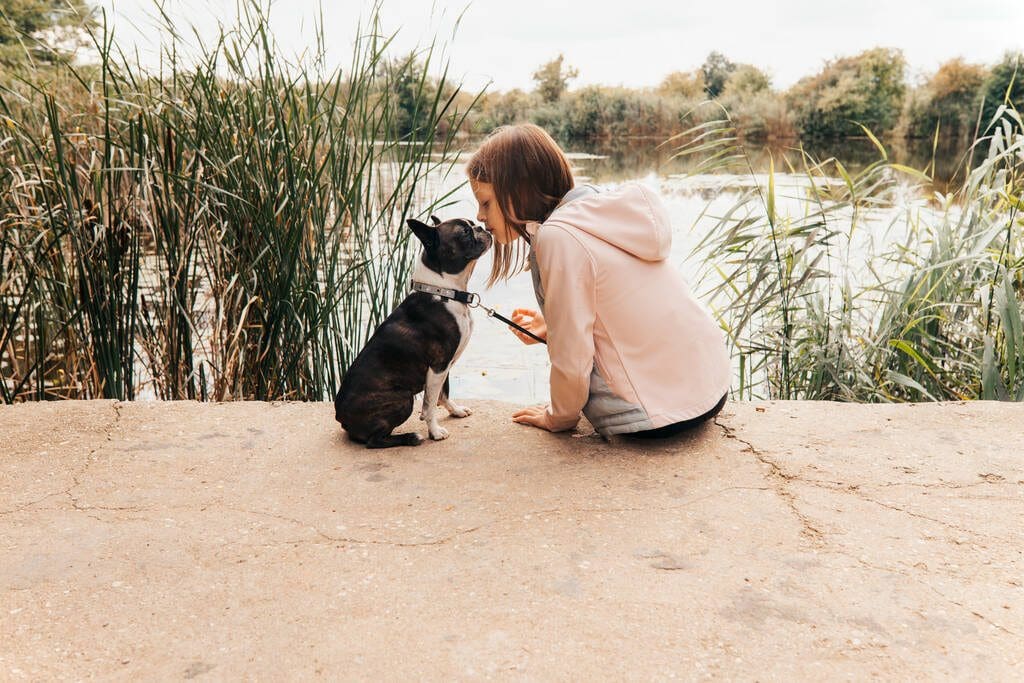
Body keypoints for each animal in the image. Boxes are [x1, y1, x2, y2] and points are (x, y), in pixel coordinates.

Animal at [335, 215, 491, 448]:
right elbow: (430, 403)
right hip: (404, 399)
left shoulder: (444, 365)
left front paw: (455, 411)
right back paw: (410, 437)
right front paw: (434, 431)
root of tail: (340, 416)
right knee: (374, 441)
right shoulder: (438, 365)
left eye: (473, 224)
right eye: (464, 232)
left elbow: (443, 393)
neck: (444, 292)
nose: (482, 228)